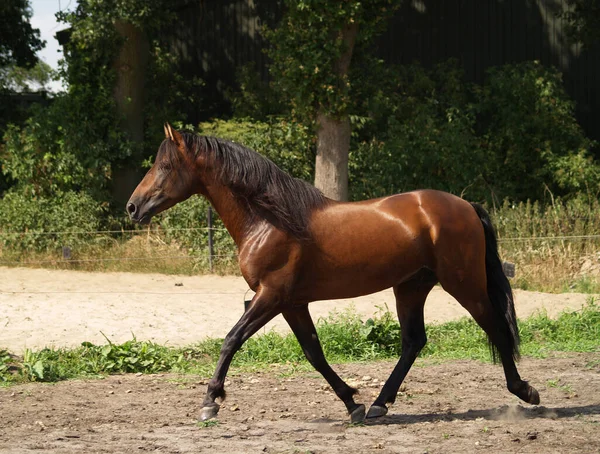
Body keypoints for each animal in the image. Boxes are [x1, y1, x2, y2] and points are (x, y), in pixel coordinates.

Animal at [126, 123, 540, 422]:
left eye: (165, 166)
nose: (132, 207)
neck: (270, 219)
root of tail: (466, 206)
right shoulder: (292, 304)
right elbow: (314, 353)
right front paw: (352, 404)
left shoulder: (270, 296)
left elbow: (231, 340)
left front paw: (210, 401)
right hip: (411, 287)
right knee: (413, 342)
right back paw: (379, 404)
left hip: (463, 283)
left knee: (494, 326)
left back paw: (524, 390)